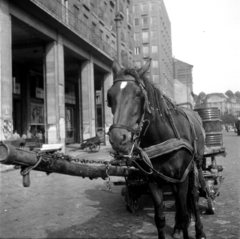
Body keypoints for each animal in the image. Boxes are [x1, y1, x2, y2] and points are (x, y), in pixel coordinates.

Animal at [107, 58, 206, 239]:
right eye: (110, 96)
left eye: (138, 94)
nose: (118, 138)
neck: (162, 136)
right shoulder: (152, 179)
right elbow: (159, 218)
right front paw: (175, 225)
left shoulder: (182, 175)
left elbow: (185, 212)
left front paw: (187, 224)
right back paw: (177, 226)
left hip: (196, 164)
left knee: (194, 195)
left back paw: (199, 229)